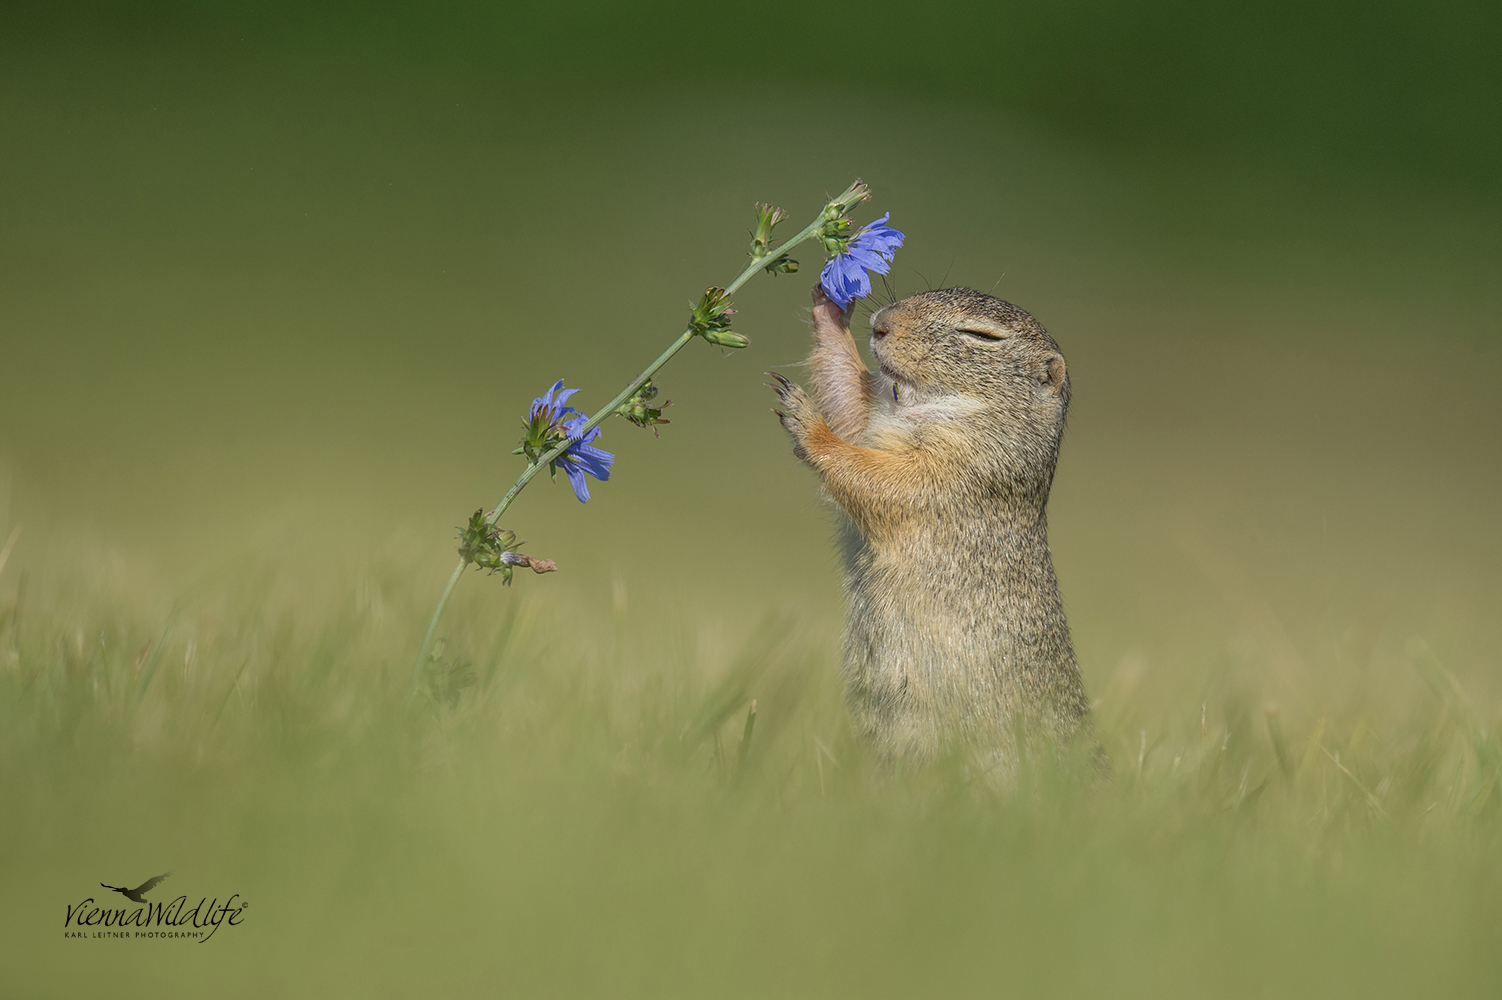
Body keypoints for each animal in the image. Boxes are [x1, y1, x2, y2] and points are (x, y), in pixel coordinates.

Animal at [775, 283, 1093, 759]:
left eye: (982, 335)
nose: (881, 323)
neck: (927, 407)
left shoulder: (960, 472)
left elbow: (876, 478)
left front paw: (809, 423)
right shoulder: (875, 420)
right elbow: (849, 403)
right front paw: (830, 309)